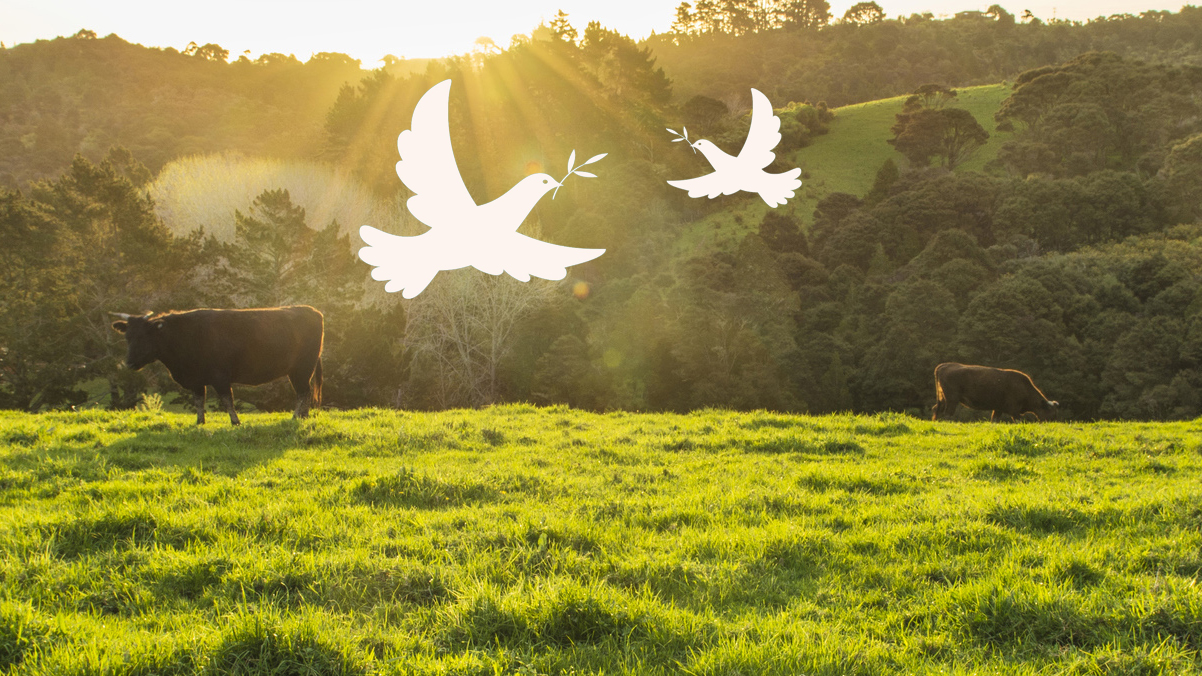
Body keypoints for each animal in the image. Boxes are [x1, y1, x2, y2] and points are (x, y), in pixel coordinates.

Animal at [108, 306, 322, 423]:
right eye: (128, 336)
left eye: (145, 336)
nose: (129, 363)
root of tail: (311, 310)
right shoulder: (195, 380)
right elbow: (199, 401)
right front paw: (199, 422)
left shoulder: (220, 377)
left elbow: (227, 399)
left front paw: (235, 422)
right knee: (305, 392)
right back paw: (303, 416)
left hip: (301, 369)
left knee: (303, 392)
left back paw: (296, 416)